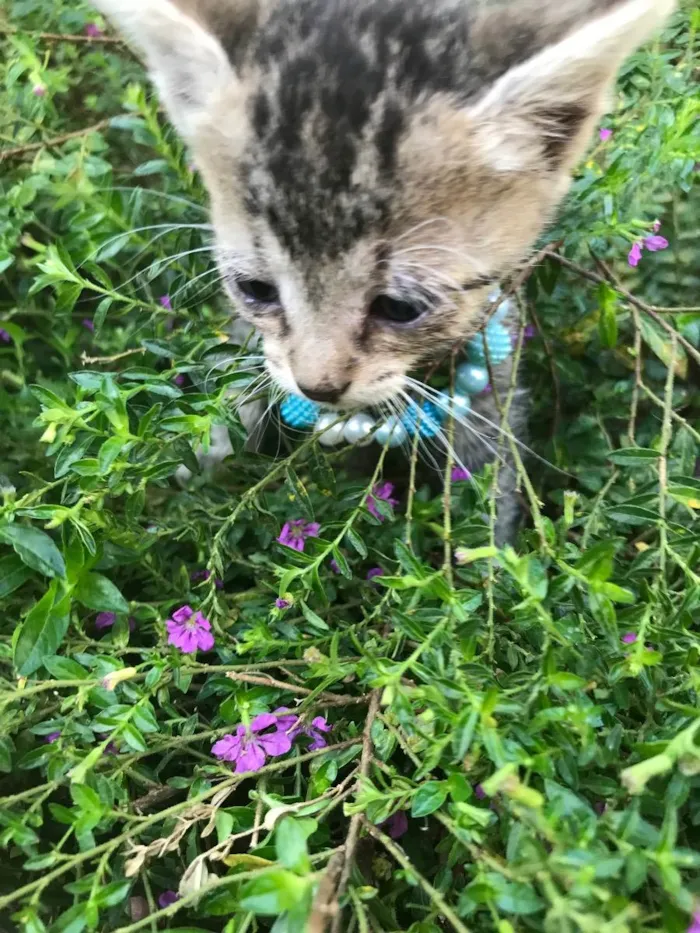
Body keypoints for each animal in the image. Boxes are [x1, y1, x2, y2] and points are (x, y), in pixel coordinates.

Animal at [91, 0, 672, 540]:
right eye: (256, 289)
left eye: (400, 307)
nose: (318, 387)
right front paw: (198, 462)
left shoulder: (494, 337)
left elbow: (491, 472)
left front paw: (493, 558)